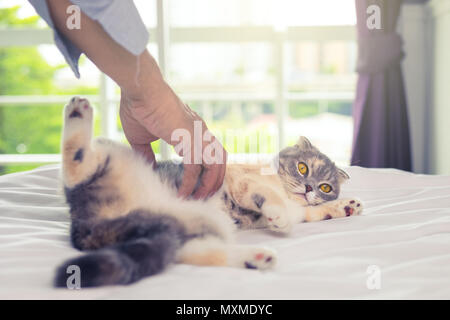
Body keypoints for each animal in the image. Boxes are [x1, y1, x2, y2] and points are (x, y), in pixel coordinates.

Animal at [53, 97, 362, 288]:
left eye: (325, 186)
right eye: (302, 167)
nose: (309, 188)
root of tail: (84, 226)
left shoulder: (301, 208)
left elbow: (314, 211)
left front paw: (347, 206)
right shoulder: (244, 183)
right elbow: (270, 197)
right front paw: (279, 216)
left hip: (195, 233)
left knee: (208, 255)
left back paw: (257, 258)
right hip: (112, 156)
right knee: (76, 166)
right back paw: (77, 112)